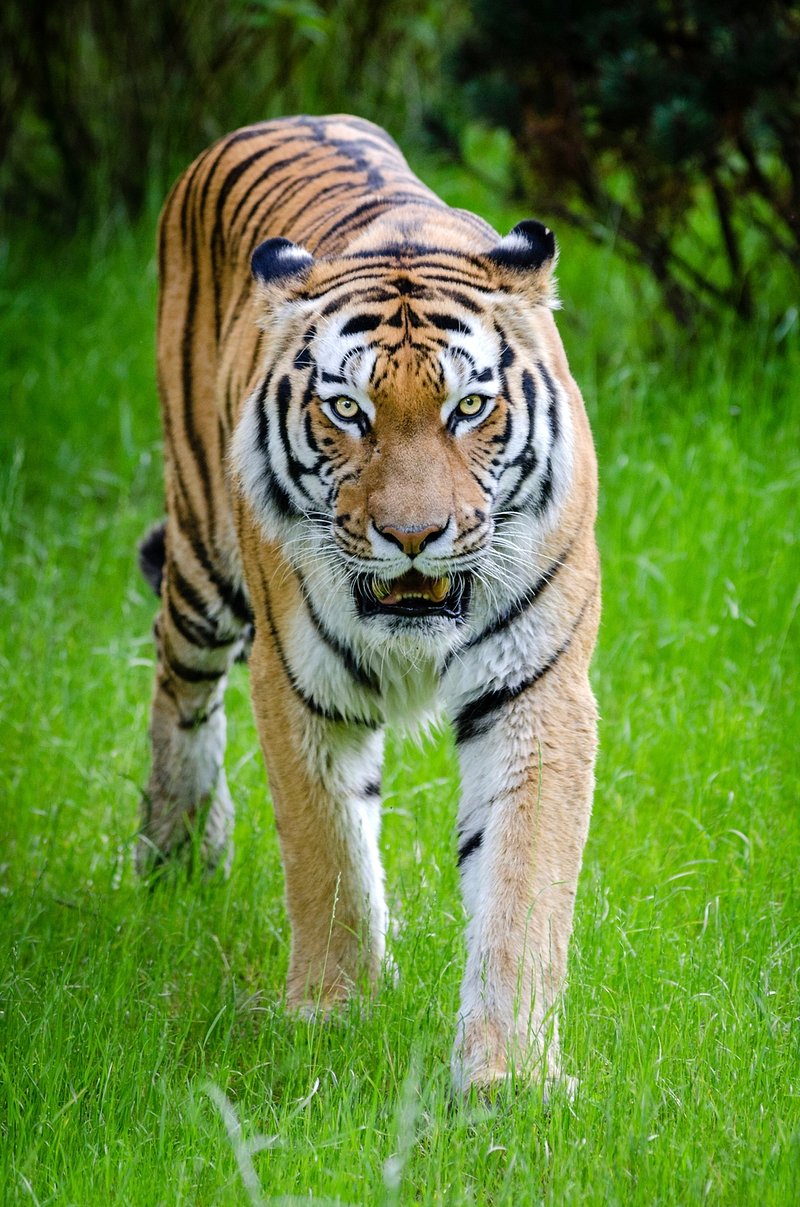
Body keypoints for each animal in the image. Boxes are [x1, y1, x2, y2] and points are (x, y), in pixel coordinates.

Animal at [137, 114, 600, 1096]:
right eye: (347, 410)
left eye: (472, 406)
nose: (414, 534)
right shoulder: (298, 682)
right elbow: (330, 856)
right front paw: (331, 1017)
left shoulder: (535, 690)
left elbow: (522, 881)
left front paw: (509, 1078)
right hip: (201, 554)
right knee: (177, 678)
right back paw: (176, 849)